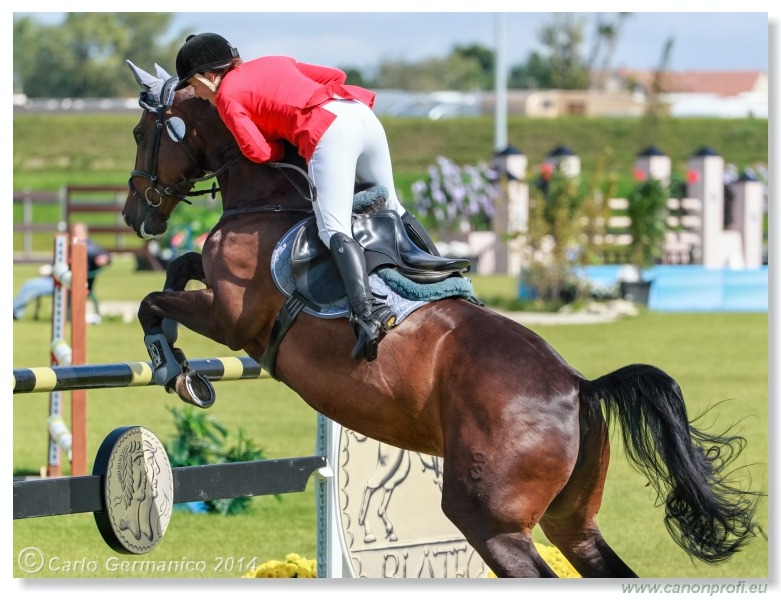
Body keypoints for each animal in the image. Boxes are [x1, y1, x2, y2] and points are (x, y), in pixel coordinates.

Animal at [122, 63, 760, 580]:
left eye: (140, 134)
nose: (134, 215)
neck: (267, 200)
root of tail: (580, 387)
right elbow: (178, 269)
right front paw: (177, 356)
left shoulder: (230, 317)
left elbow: (153, 300)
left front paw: (176, 370)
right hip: (572, 521)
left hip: (489, 520)